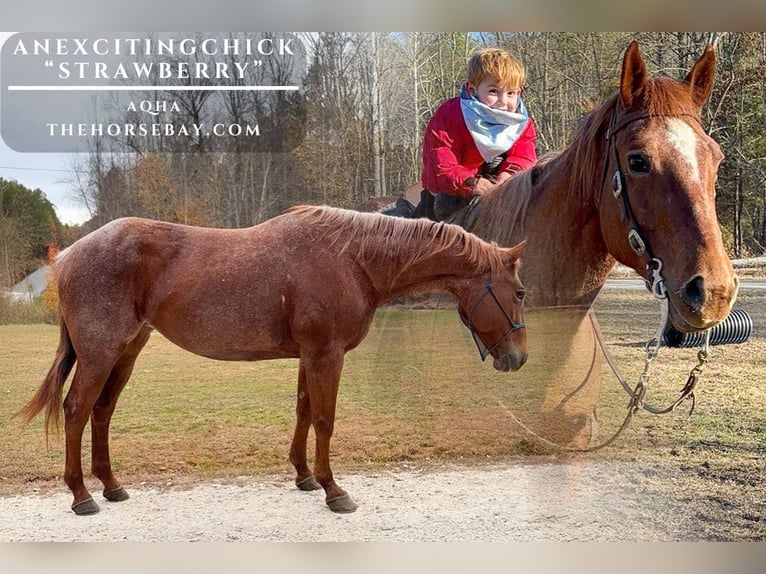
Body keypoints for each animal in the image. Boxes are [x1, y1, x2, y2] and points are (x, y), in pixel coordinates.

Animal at [17, 205, 527, 515]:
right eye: (520, 292)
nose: (519, 358)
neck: (352, 259)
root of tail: (68, 256)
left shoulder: (310, 356)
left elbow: (303, 411)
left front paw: (304, 477)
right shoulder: (326, 355)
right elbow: (324, 419)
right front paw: (333, 489)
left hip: (127, 351)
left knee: (101, 413)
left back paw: (111, 486)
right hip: (100, 353)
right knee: (76, 411)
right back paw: (82, 495)